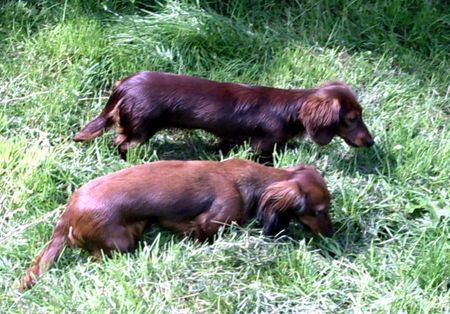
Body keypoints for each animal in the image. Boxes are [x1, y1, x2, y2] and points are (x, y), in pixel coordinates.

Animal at [19, 159, 332, 292]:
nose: (331, 233)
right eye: (320, 210)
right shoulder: (210, 222)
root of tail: (67, 215)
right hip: (120, 241)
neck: (250, 183)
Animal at [74, 72, 376, 158]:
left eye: (361, 114)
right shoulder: (262, 143)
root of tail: (123, 86)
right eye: (351, 119)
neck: (290, 110)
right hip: (141, 128)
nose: (371, 142)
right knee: (122, 143)